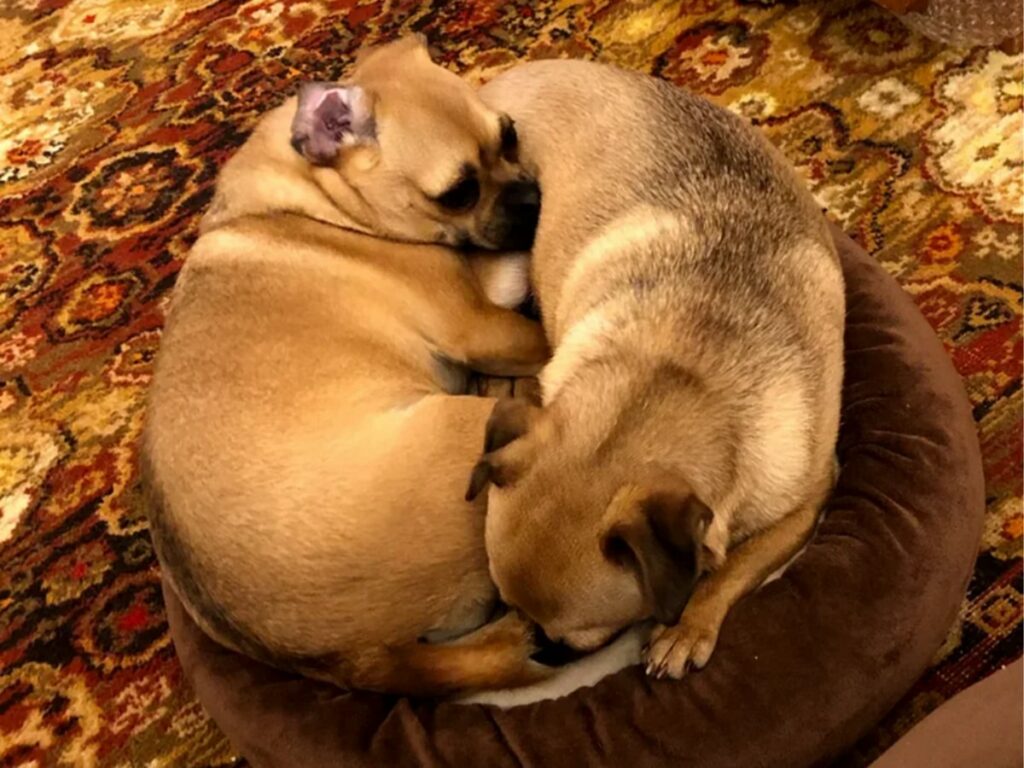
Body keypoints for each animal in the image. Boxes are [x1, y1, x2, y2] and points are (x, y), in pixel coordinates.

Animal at [140, 36, 557, 696]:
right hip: (474, 422)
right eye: (457, 192)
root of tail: (352, 661)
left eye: (510, 135)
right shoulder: (480, 322)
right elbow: (519, 302)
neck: (312, 200)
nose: (533, 199)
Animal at [468, 61, 843, 684]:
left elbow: (732, 566)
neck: (679, 372)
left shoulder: (804, 505)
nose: (529, 646)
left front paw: (687, 627)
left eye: (567, 646)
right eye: (501, 602)